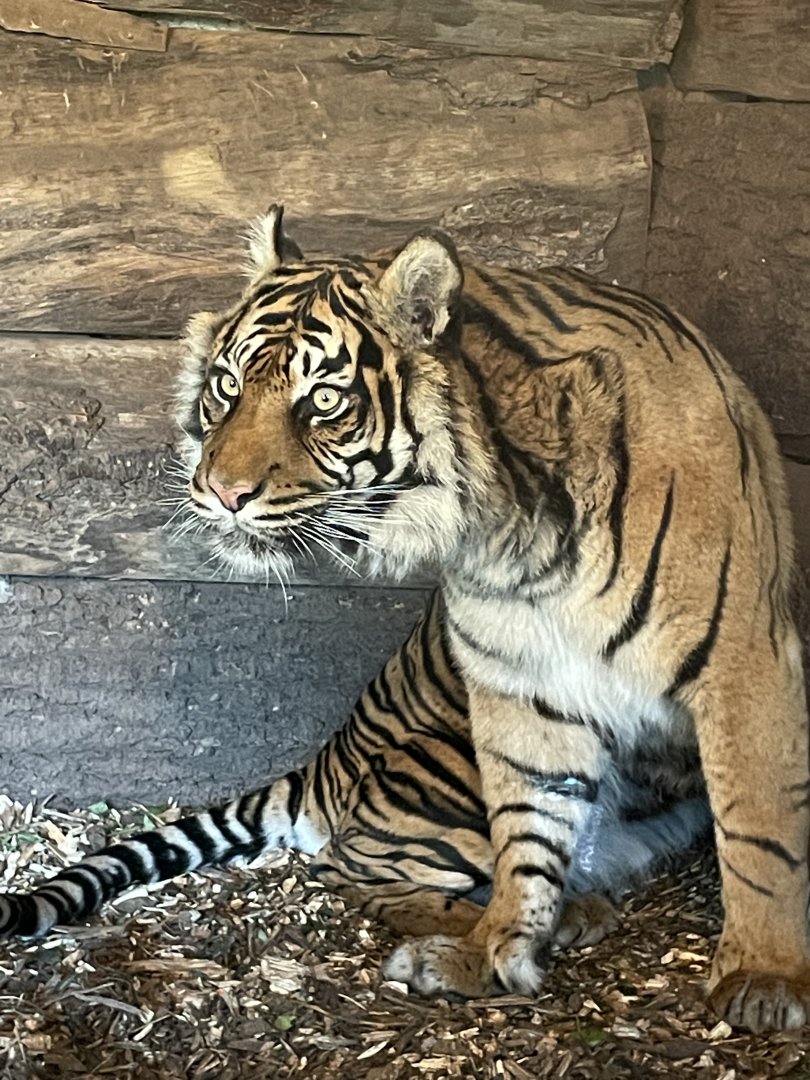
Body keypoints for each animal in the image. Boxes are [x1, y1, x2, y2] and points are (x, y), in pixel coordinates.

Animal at [2, 206, 808, 1034]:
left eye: (323, 401)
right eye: (226, 385)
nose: (220, 492)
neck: (511, 526)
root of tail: (325, 763)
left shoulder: (743, 663)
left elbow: (760, 832)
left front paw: (764, 976)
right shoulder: (516, 686)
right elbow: (525, 830)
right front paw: (494, 949)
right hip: (441, 765)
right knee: (351, 865)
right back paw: (544, 919)